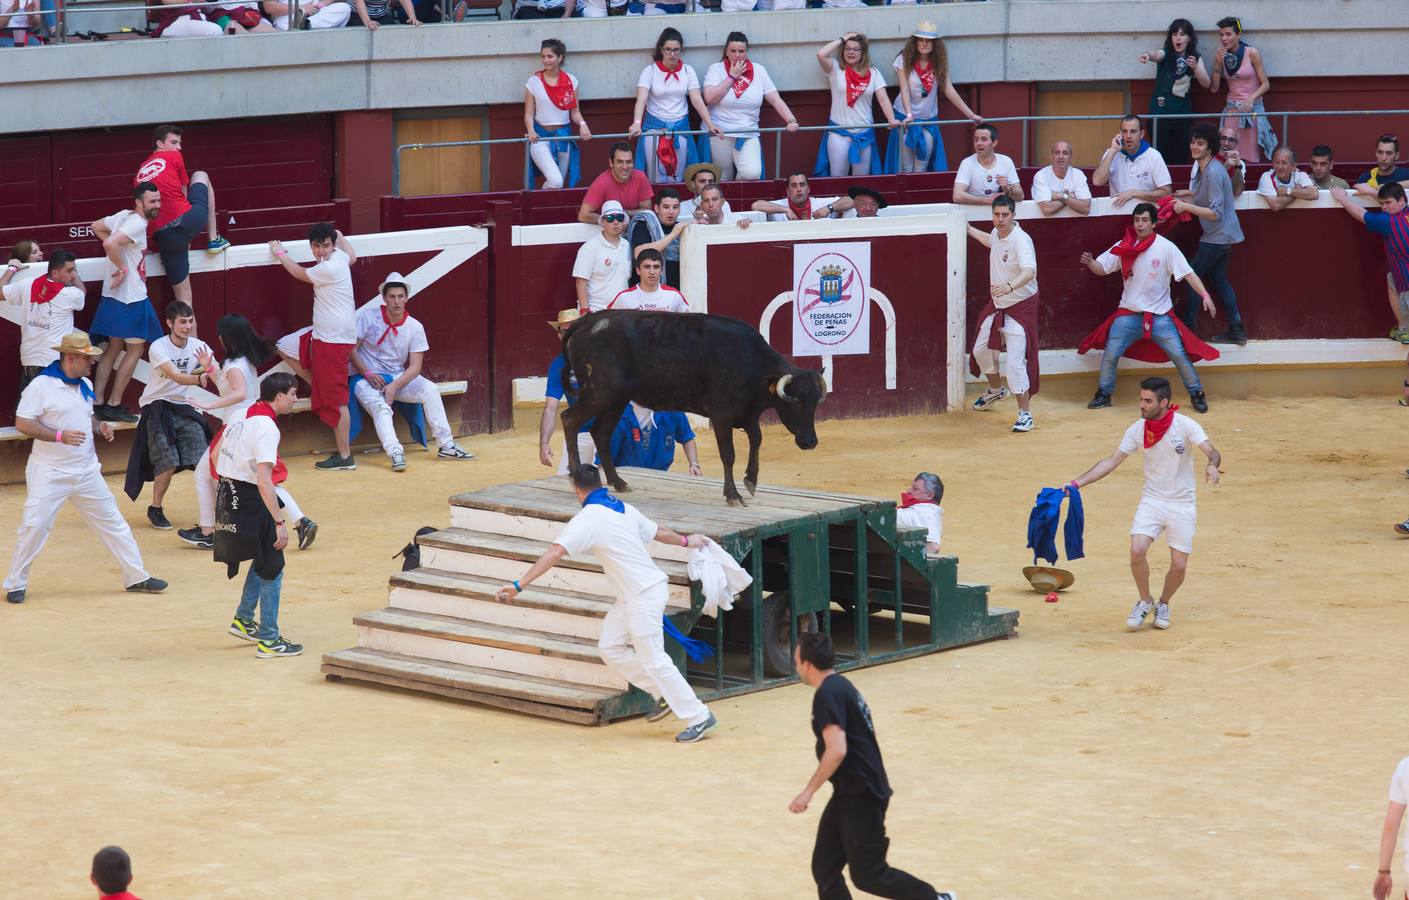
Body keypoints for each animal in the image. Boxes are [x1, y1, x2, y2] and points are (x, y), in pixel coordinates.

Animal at [557, 311, 822, 507]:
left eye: (816, 402)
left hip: (617, 399)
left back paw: (618, 482)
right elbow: (728, 454)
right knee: (570, 419)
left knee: (600, 432)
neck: (749, 362)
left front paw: (751, 480)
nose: (810, 442)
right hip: (599, 393)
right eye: (795, 401)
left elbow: (756, 439)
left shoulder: (747, 414)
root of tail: (589, 321)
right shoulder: (721, 413)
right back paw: (575, 476)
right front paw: (733, 495)